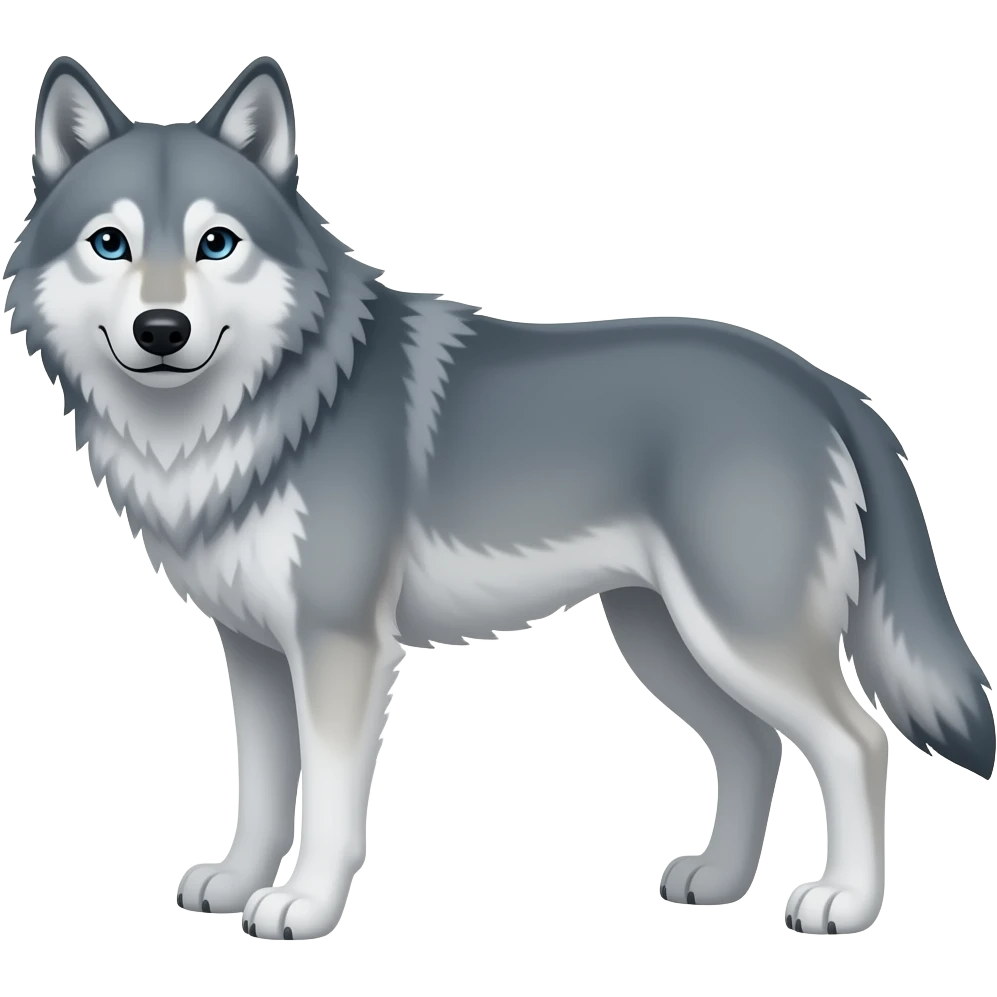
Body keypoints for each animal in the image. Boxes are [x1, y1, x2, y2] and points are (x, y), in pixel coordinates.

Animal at [4, 54, 993, 941]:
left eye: (217, 243)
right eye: (110, 243)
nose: (160, 329)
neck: (253, 413)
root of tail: (821, 382)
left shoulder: (338, 645)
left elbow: (327, 800)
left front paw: (303, 907)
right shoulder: (251, 651)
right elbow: (260, 786)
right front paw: (239, 882)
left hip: (739, 637)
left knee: (856, 742)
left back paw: (844, 904)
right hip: (665, 640)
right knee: (752, 745)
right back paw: (716, 881)